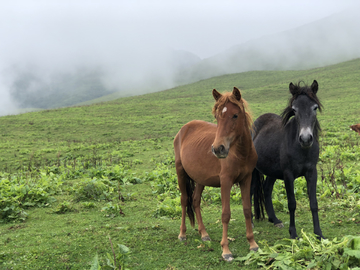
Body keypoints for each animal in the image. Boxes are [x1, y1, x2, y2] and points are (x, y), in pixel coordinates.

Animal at [173, 87, 258, 262]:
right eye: (217, 117)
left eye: (235, 115)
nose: (218, 149)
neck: (240, 153)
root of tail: (183, 129)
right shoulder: (225, 181)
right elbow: (225, 214)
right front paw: (226, 250)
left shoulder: (246, 179)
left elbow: (247, 210)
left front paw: (252, 244)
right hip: (181, 173)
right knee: (184, 200)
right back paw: (182, 234)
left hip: (200, 179)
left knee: (195, 200)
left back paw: (204, 234)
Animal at [252, 80, 324, 238]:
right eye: (294, 109)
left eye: (315, 108)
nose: (305, 139)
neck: (301, 149)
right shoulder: (288, 175)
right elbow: (292, 203)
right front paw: (293, 233)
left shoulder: (312, 172)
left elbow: (314, 203)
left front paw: (319, 234)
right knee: (250, 191)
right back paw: (252, 223)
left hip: (272, 171)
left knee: (266, 189)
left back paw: (275, 219)